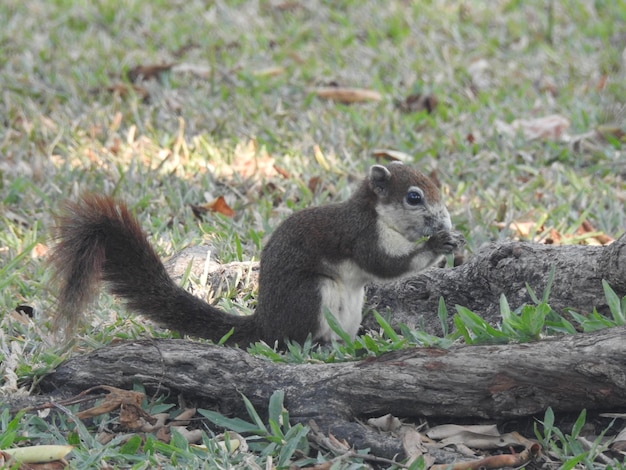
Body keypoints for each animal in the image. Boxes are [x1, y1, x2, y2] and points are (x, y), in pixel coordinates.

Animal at [50, 163, 464, 346]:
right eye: (414, 197)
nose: (444, 220)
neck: (378, 216)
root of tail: (265, 324)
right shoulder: (359, 236)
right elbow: (386, 266)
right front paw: (436, 245)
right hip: (312, 295)